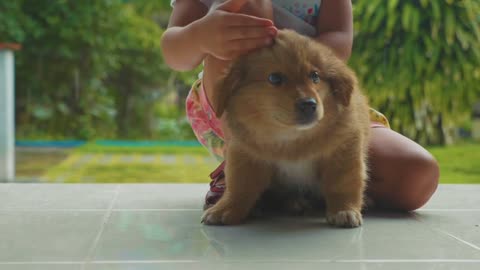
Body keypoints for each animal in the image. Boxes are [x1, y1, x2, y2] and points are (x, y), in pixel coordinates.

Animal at [202, 30, 372, 228]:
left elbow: (342, 184)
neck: (291, 139)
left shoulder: (344, 150)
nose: (309, 104)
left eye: (315, 76)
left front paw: (344, 210)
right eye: (275, 78)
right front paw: (225, 208)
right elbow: (239, 187)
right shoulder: (245, 155)